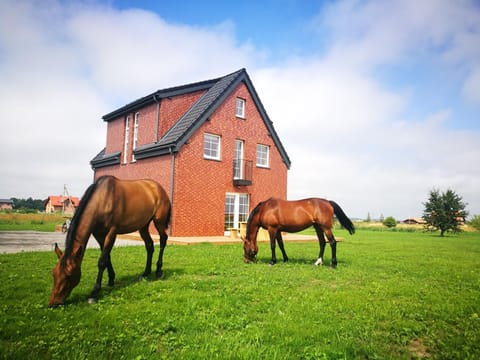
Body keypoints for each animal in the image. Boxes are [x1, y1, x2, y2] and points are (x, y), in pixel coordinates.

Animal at [48, 176, 172, 308]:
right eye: (53, 273)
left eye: (69, 275)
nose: (53, 303)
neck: (102, 200)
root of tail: (159, 188)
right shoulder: (98, 234)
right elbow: (107, 257)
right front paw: (111, 280)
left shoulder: (111, 233)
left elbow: (102, 261)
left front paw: (94, 293)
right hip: (143, 226)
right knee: (149, 245)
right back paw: (146, 273)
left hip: (159, 221)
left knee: (163, 240)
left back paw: (158, 271)